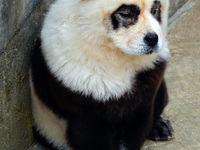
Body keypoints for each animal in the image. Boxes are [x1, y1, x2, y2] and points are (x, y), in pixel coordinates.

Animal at [28, 0, 174, 149]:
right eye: (126, 14)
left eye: (155, 10)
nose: (152, 39)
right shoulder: (77, 83)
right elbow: (90, 134)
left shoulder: (147, 74)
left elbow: (139, 119)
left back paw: (161, 128)